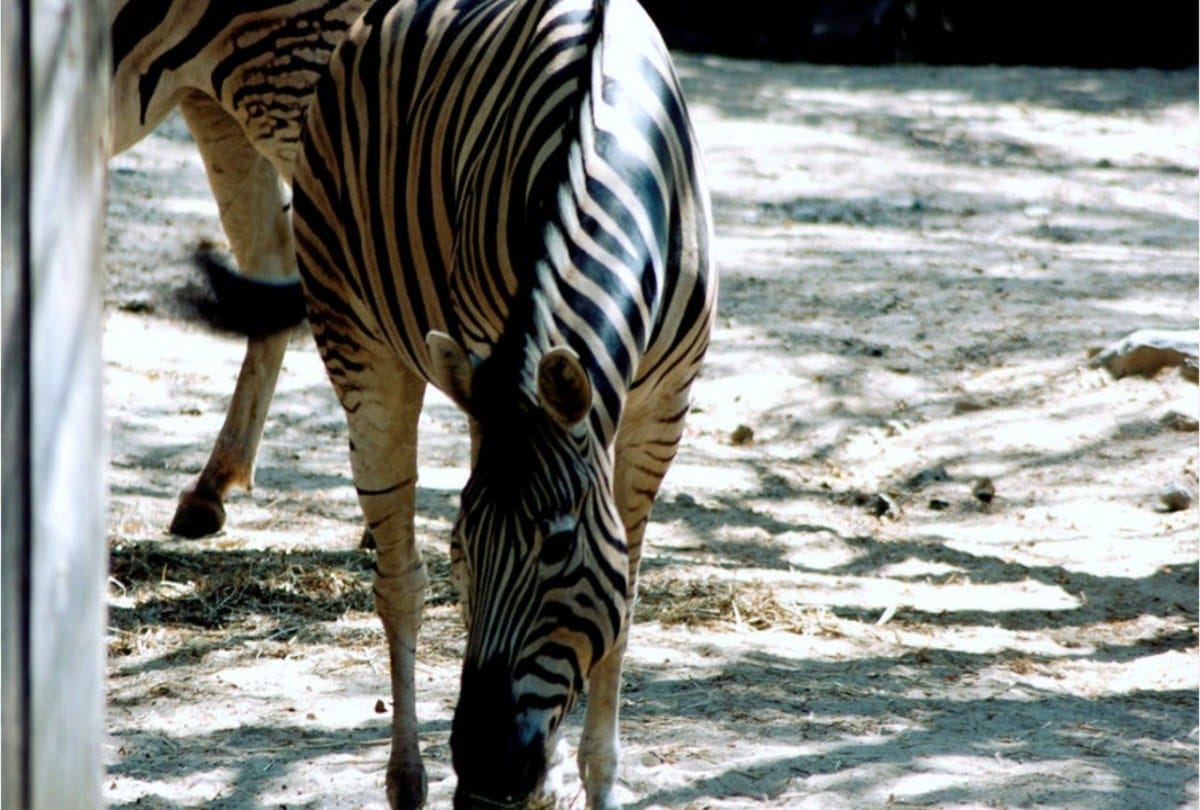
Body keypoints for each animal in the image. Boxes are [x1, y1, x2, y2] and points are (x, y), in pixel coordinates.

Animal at [292, 0, 715, 806]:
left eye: (557, 548)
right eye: (464, 544)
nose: (485, 765)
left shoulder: (661, 410)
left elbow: (624, 597)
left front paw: (593, 776)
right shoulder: (493, 360)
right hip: (358, 341)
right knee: (399, 582)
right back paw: (409, 780)